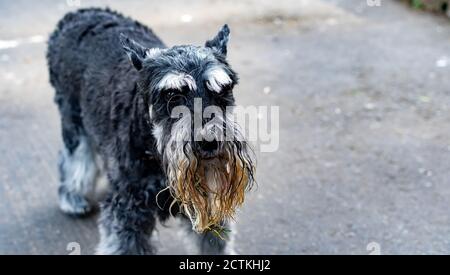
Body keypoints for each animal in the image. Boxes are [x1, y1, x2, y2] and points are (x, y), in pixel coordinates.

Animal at [48, 7, 256, 256]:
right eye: (171, 95)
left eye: (223, 90)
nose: (209, 142)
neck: (155, 149)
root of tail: (77, 14)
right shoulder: (129, 212)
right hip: (73, 121)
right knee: (74, 158)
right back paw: (72, 197)